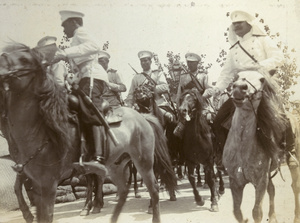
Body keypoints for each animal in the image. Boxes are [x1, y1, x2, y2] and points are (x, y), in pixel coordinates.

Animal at [0, 42, 177, 222]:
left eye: (24, 59)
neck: (42, 128)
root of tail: (143, 117)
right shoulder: (35, 181)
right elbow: (19, 189)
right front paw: (27, 213)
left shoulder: (48, 184)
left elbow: (46, 214)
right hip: (116, 165)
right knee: (123, 190)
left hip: (144, 161)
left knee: (153, 188)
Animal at [223, 70, 288, 223]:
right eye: (236, 76)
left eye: (262, 79)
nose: (239, 88)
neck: (242, 151)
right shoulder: (235, 182)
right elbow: (237, 211)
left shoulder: (260, 181)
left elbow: (257, 212)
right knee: (272, 190)